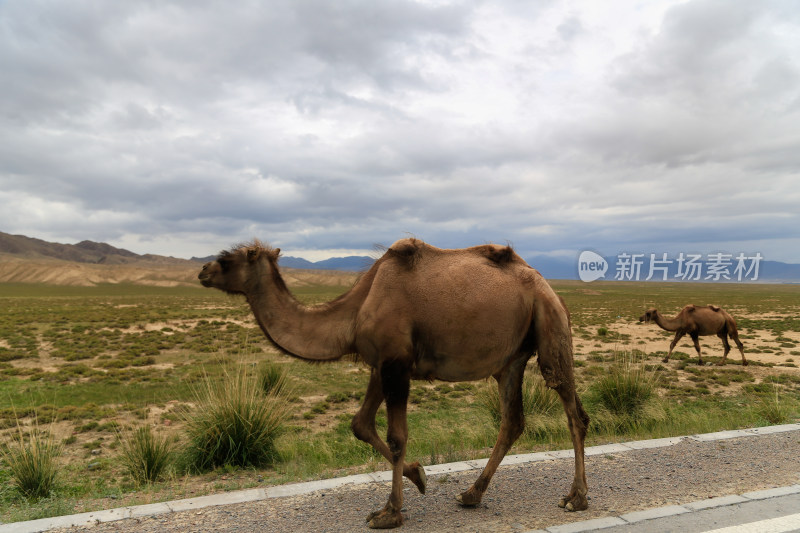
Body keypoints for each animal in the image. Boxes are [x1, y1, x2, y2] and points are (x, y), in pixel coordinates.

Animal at [198, 238, 588, 528]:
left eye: (228, 259)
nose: (203, 271)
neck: (355, 311)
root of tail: (545, 283)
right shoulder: (379, 364)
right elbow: (360, 424)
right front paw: (419, 476)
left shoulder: (397, 365)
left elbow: (397, 437)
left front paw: (389, 512)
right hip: (511, 360)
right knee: (512, 420)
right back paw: (471, 494)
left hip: (550, 322)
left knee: (573, 412)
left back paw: (576, 498)